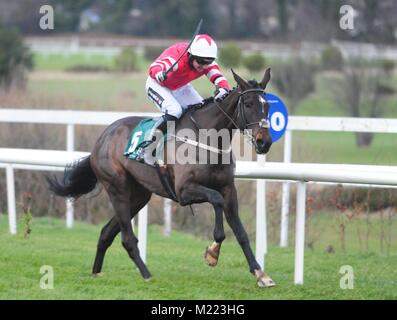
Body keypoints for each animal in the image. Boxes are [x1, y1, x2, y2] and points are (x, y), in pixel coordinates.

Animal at [46, 68, 274, 288]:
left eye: (267, 106)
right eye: (248, 103)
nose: (264, 142)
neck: (207, 138)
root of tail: (101, 139)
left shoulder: (228, 189)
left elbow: (241, 232)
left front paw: (260, 274)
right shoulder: (184, 191)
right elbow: (216, 202)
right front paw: (212, 253)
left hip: (139, 196)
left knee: (106, 233)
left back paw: (95, 273)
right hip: (117, 188)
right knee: (127, 238)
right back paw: (146, 275)